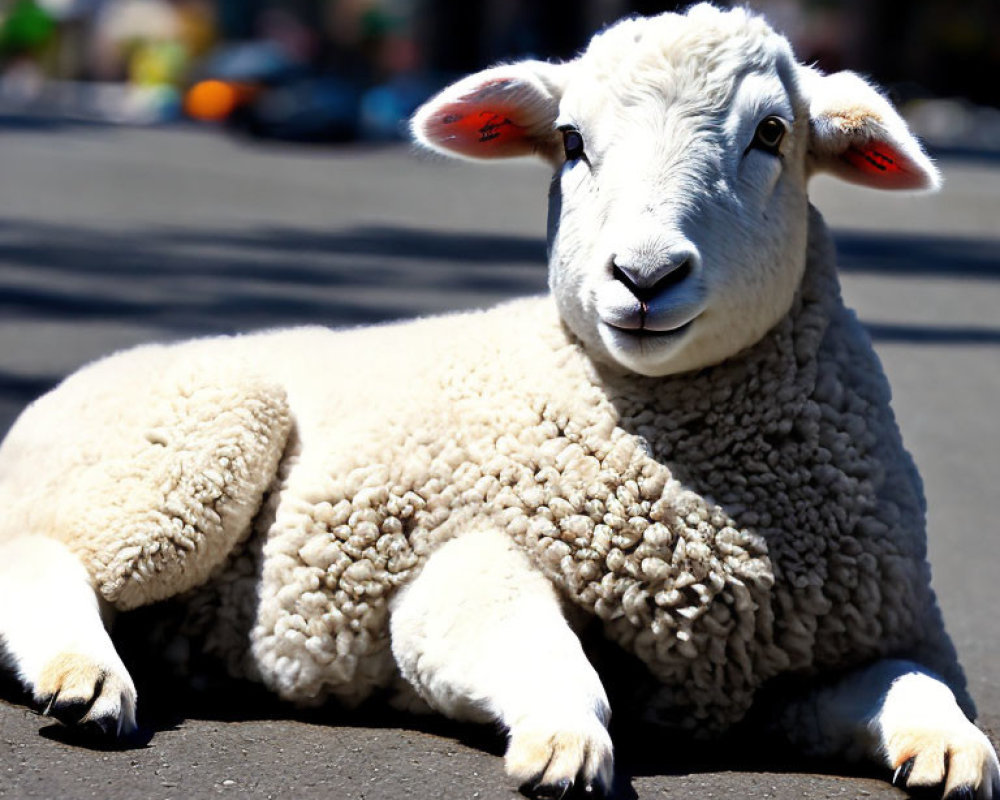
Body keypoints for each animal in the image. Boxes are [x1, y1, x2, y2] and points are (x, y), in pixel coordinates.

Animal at [1, 3, 1000, 796]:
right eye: (572, 141)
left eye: (772, 134)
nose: (644, 277)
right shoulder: (461, 566)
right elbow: (548, 657)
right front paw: (564, 740)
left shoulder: (837, 651)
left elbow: (922, 687)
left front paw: (951, 750)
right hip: (184, 444)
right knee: (38, 554)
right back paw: (84, 676)